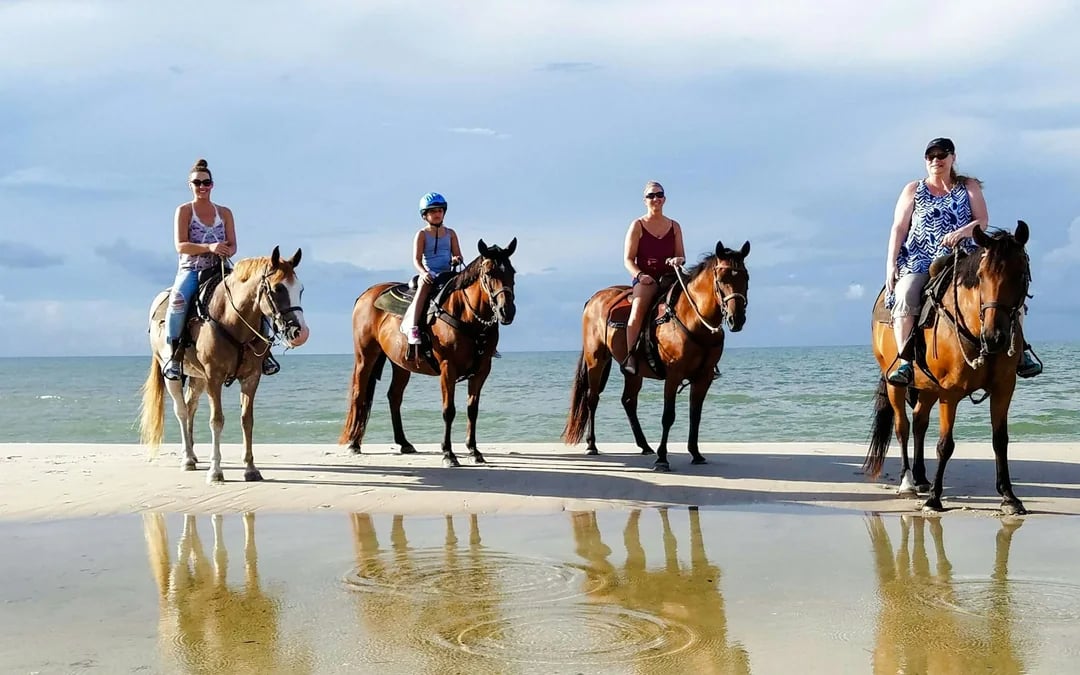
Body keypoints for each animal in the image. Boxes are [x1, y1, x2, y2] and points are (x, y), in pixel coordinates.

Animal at [138, 247, 309, 483]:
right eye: (277, 289)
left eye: (300, 289)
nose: (300, 333)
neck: (232, 320)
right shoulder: (214, 377)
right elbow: (216, 420)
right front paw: (215, 471)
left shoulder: (251, 377)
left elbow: (247, 420)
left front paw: (250, 468)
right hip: (172, 374)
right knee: (181, 411)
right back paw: (187, 459)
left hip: (197, 377)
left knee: (190, 407)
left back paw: (193, 454)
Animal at [339, 238, 517, 468]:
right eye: (489, 273)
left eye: (512, 272)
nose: (507, 311)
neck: (467, 315)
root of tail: (366, 294)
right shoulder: (448, 368)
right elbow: (448, 411)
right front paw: (448, 453)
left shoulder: (482, 370)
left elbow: (472, 410)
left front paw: (474, 450)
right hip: (365, 357)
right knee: (359, 394)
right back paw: (354, 443)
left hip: (400, 364)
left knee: (394, 396)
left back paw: (404, 442)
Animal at [562, 239, 750, 471]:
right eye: (721, 279)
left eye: (746, 278)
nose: (736, 319)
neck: (693, 319)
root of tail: (593, 299)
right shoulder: (673, 375)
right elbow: (668, 416)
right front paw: (662, 458)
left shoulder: (703, 378)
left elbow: (695, 415)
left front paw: (695, 453)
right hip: (596, 360)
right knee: (592, 399)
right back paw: (592, 445)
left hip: (633, 372)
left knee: (628, 401)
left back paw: (644, 445)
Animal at [865, 221, 1033, 515]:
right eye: (981, 275)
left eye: (1021, 273)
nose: (995, 337)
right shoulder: (950, 393)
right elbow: (945, 445)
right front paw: (935, 498)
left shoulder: (1003, 389)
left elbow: (1000, 441)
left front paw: (1009, 497)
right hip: (895, 384)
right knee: (903, 427)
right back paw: (908, 482)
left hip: (928, 388)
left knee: (919, 422)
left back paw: (921, 478)